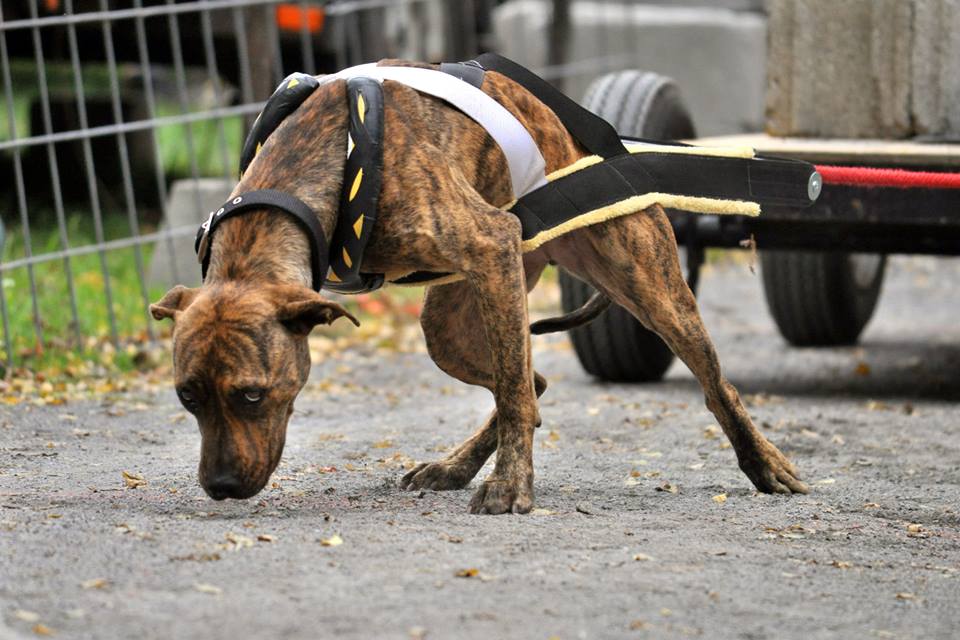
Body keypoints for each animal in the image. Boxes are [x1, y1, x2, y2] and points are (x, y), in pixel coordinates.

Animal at [152, 58, 808, 510]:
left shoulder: (490, 241)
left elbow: (515, 397)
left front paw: (512, 486)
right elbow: (517, 390)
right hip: (457, 318)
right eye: (187, 397)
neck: (319, 162)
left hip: (647, 286)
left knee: (711, 383)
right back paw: (455, 466)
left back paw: (763, 462)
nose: (220, 487)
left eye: (251, 395)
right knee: (530, 380)